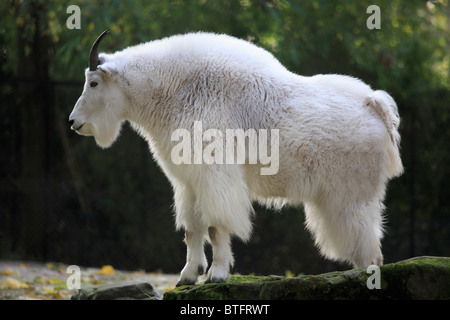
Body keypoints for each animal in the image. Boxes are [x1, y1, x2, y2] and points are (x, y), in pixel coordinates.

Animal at [69, 30, 404, 284]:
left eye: (94, 83)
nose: (74, 122)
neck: (174, 90)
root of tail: (375, 105)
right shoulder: (189, 183)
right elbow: (192, 230)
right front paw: (187, 277)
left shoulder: (215, 175)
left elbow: (216, 227)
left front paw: (216, 275)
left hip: (350, 197)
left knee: (369, 250)